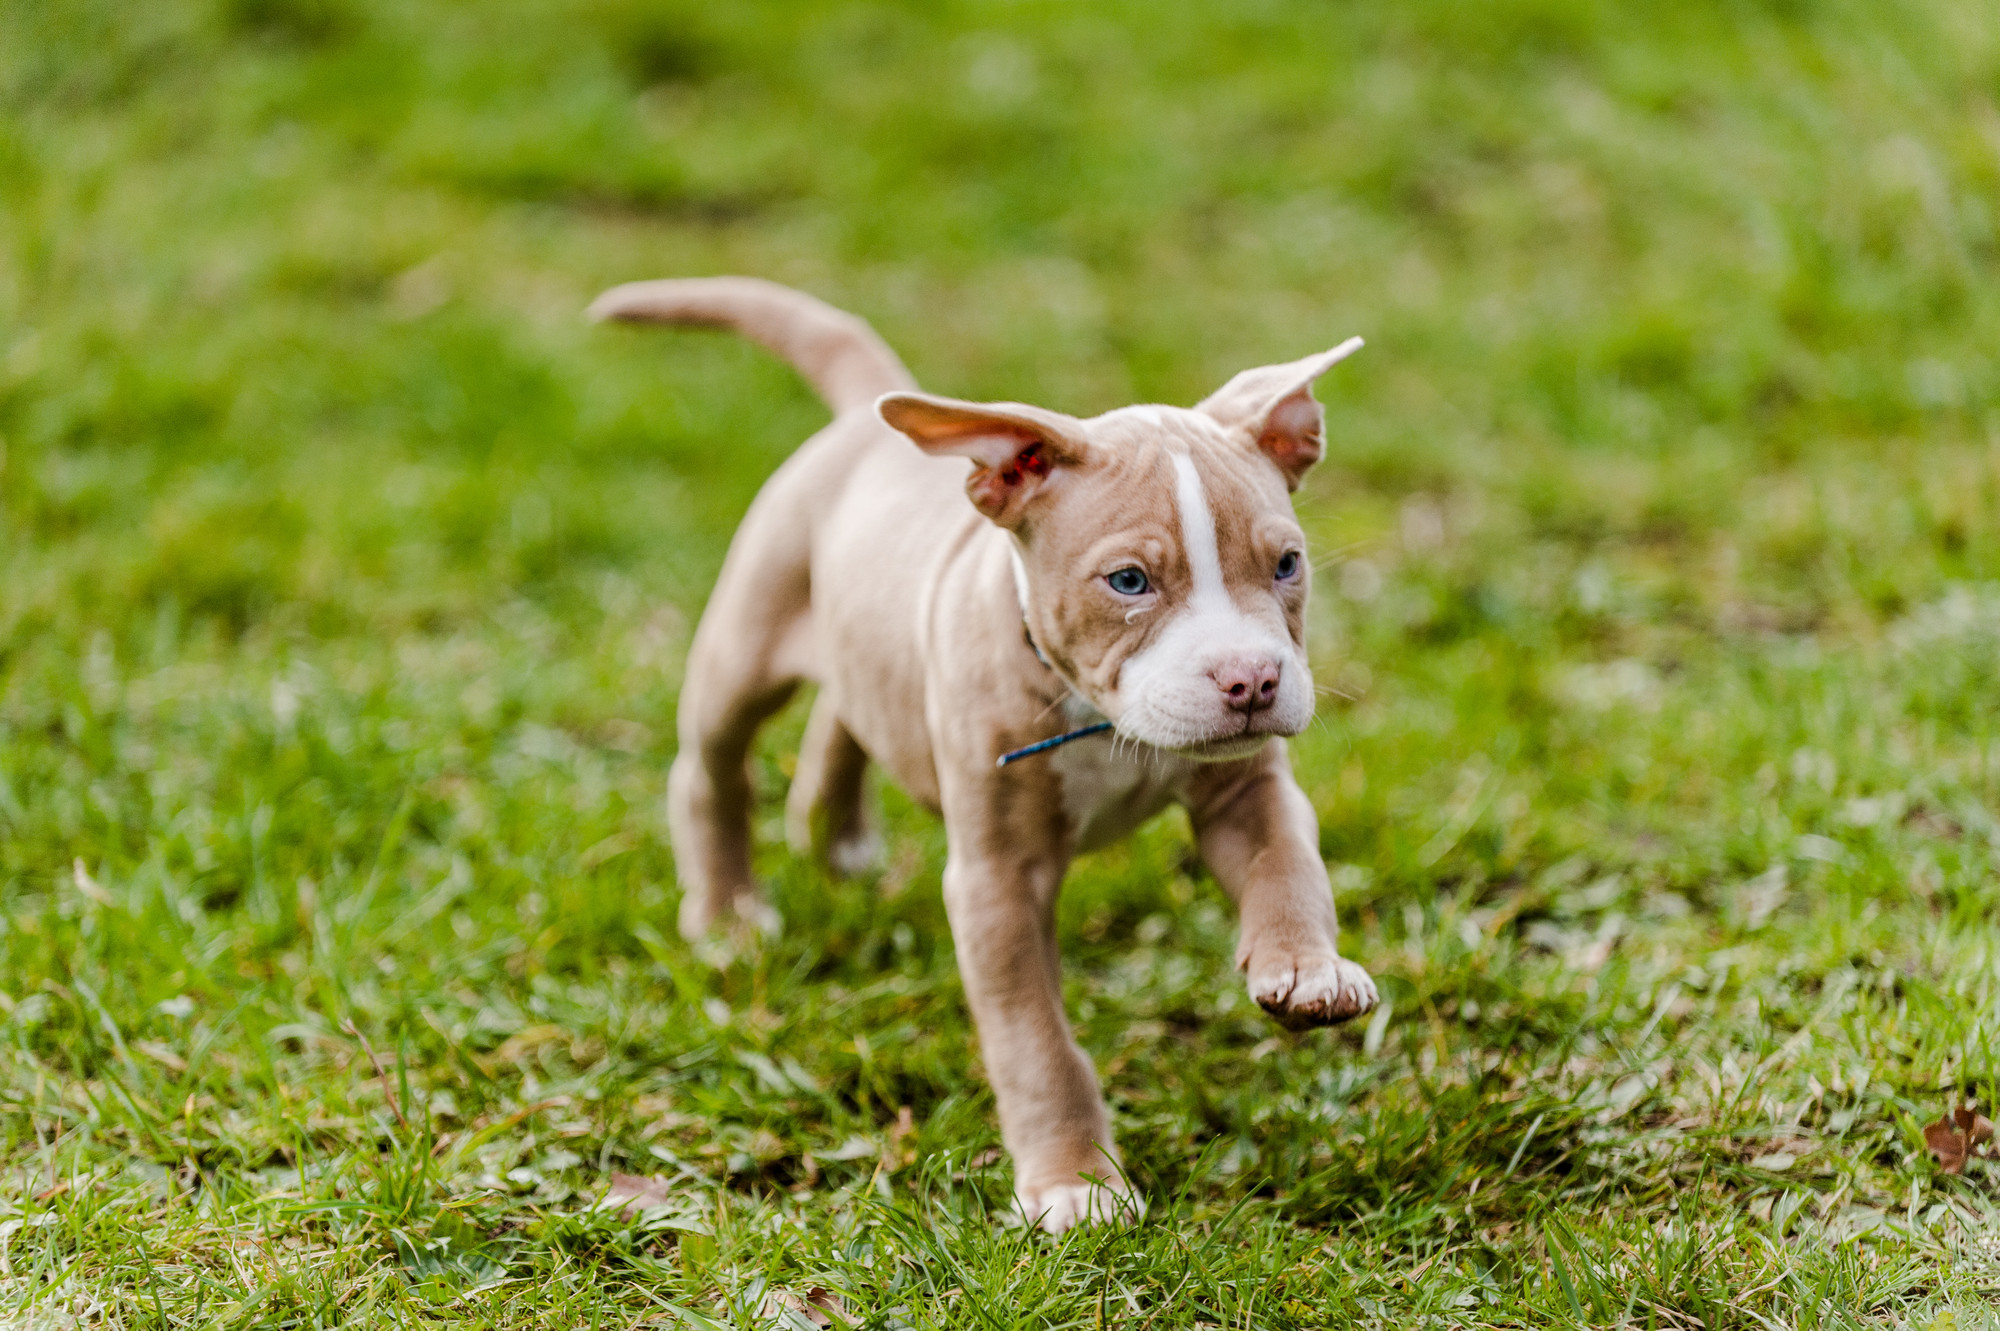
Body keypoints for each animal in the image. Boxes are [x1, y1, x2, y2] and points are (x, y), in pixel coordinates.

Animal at [584, 273, 1384, 1231]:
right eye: (1129, 581)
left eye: (1287, 564)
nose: (1253, 680)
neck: (1099, 718)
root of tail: (867, 413)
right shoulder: (998, 882)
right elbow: (1034, 1040)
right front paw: (1073, 1179)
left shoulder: (1245, 788)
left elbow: (1287, 865)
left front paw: (1306, 968)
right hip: (745, 642)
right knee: (712, 765)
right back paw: (728, 916)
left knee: (846, 712)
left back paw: (835, 834)